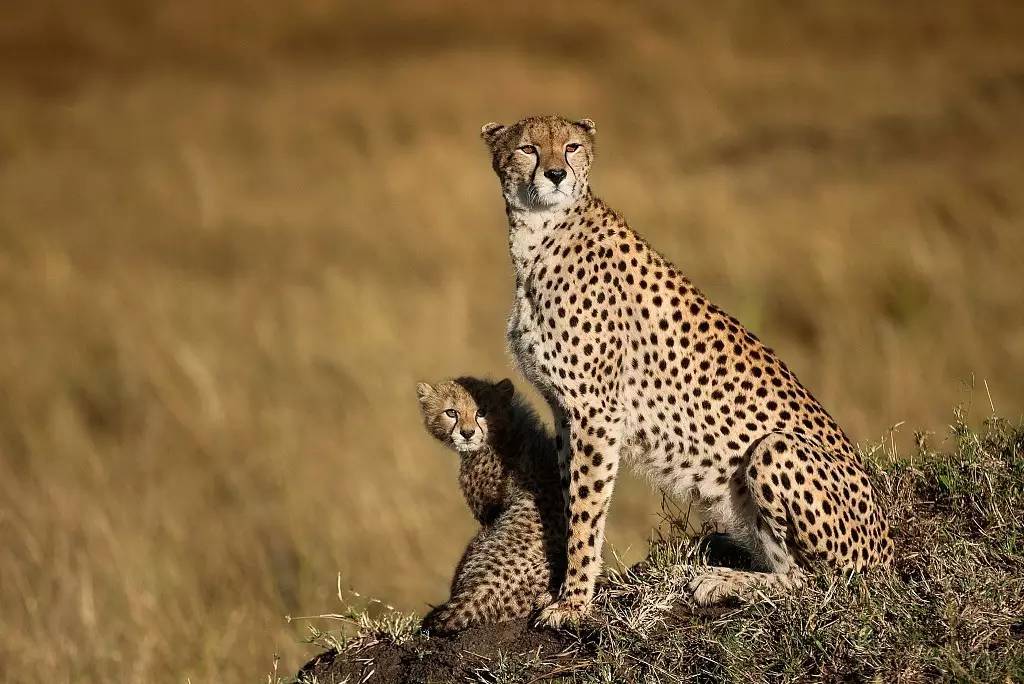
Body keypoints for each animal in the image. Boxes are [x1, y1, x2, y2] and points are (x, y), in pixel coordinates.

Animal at [477, 116, 888, 626]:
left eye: (570, 147)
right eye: (528, 149)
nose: (555, 174)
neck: (538, 236)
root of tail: (888, 549)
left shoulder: (596, 413)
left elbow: (586, 510)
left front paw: (573, 602)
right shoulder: (565, 412)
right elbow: (570, 498)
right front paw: (561, 588)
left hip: (774, 450)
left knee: (816, 583)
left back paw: (722, 581)